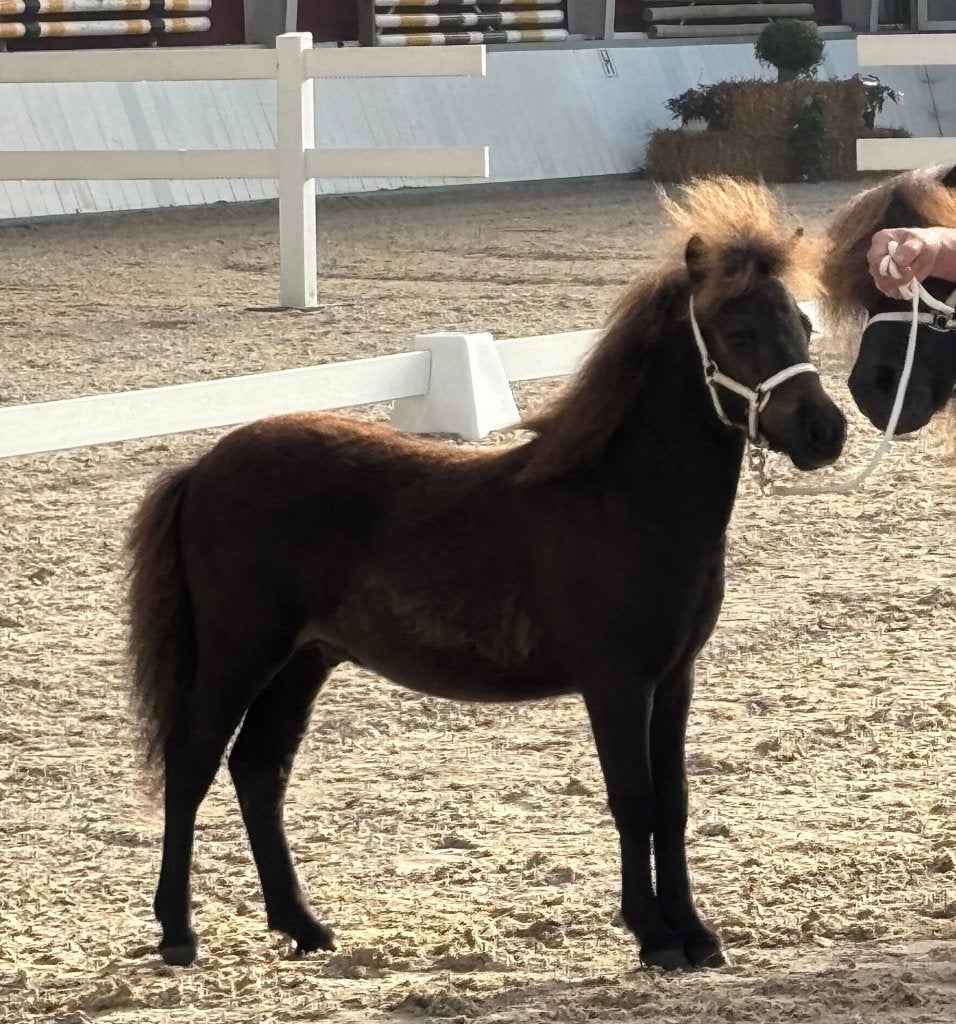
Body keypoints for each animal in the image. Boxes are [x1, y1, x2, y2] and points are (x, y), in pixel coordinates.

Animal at [126, 177, 846, 973]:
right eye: (739, 331)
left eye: (803, 327)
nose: (826, 432)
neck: (623, 498)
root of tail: (203, 466)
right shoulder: (617, 681)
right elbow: (633, 799)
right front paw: (654, 936)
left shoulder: (675, 678)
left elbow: (674, 801)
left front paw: (695, 932)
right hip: (240, 651)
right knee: (191, 762)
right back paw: (177, 932)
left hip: (304, 659)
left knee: (260, 770)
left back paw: (304, 926)